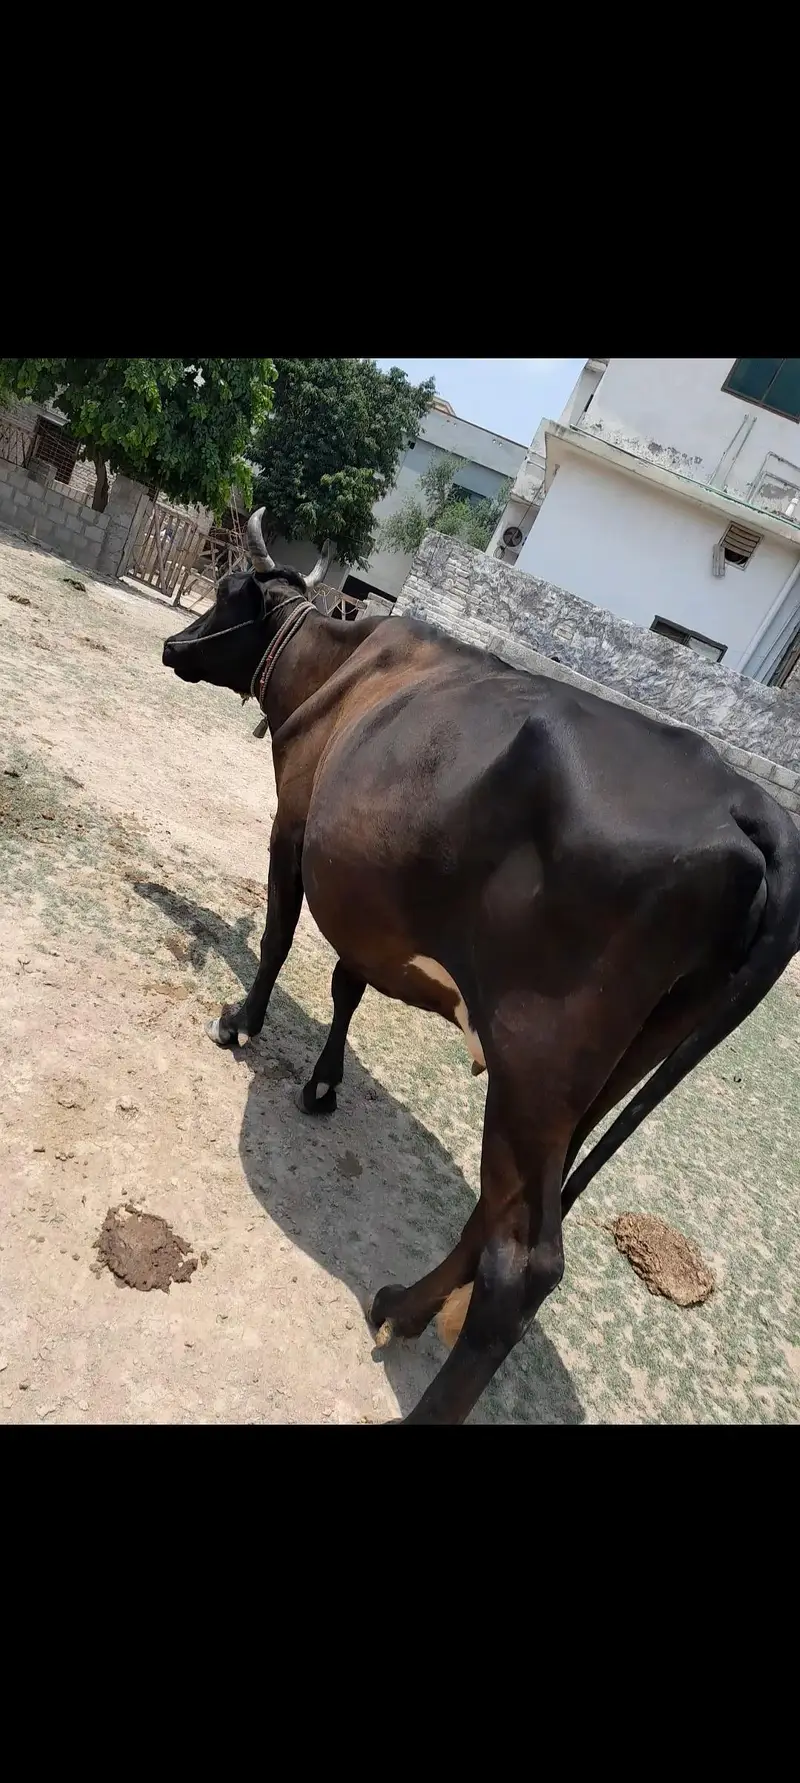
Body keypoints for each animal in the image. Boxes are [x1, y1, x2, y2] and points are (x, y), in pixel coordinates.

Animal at [161, 509, 800, 1425]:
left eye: (223, 592)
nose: (173, 645)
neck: (341, 664)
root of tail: (751, 805)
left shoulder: (295, 828)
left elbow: (282, 939)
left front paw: (240, 1024)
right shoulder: (378, 908)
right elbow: (349, 983)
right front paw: (323, 1083)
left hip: (536, 1054)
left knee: (522, 1262)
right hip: (612, 1064)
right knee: (508, 1207)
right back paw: (403, 1304)